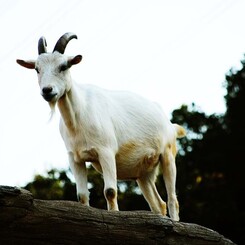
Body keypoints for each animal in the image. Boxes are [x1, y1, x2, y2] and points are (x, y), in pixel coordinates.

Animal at [16, 32, 186, 220]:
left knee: (172, 199)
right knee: (158, 204)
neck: (79, 116)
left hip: (168, 155)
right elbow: (82, 196)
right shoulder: (74, 158)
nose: (47, 90)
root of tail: (169, 123)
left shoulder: (106, 152)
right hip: (143, 173)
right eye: (37, 69)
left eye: (64, 66)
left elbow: (110, 191)